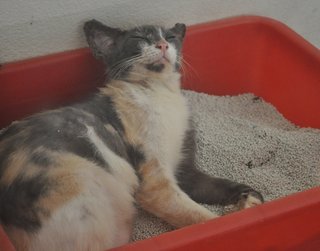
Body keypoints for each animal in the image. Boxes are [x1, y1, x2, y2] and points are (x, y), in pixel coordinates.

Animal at [0, 20, 264, 251]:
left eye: (170, 37)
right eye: (139, 38)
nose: (162, 45)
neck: (159, 92)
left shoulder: (185, 170)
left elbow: (215, 185)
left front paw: (251, 199)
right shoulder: (154, 183)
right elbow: (198, 215)